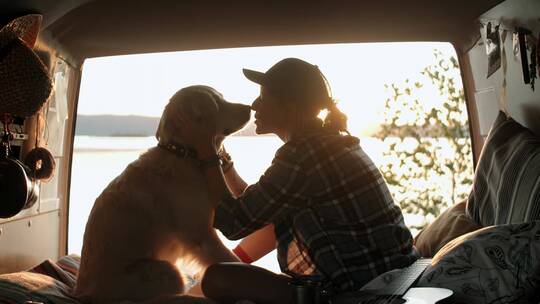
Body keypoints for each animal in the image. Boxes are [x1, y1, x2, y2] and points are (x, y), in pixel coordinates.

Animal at [75, 85, 250, 304]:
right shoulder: (201, 235)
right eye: (215, 102)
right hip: (168, 273)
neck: (183, 154)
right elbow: (233, 261)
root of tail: (82, 294)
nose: (250, 107)